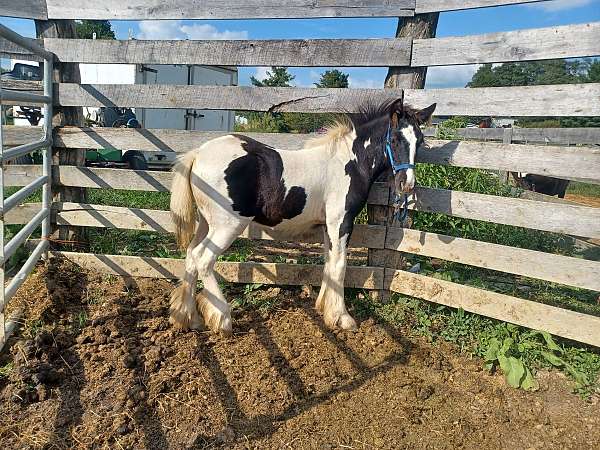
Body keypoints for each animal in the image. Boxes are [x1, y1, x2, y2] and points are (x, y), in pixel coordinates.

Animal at [169, 100, 436, 336]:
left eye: (420, 141)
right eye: (395, 139)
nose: (406, 185)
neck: (349, 163)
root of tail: (198, 153)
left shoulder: (328, 225)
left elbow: (329, 262)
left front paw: (325, 309)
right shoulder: (340, 222)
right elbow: (340, 265)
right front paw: (343, 318)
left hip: (206, 224)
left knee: (191, 256)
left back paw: (188, 319)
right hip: (228, 225)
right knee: (203, 259)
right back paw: (223, 320)